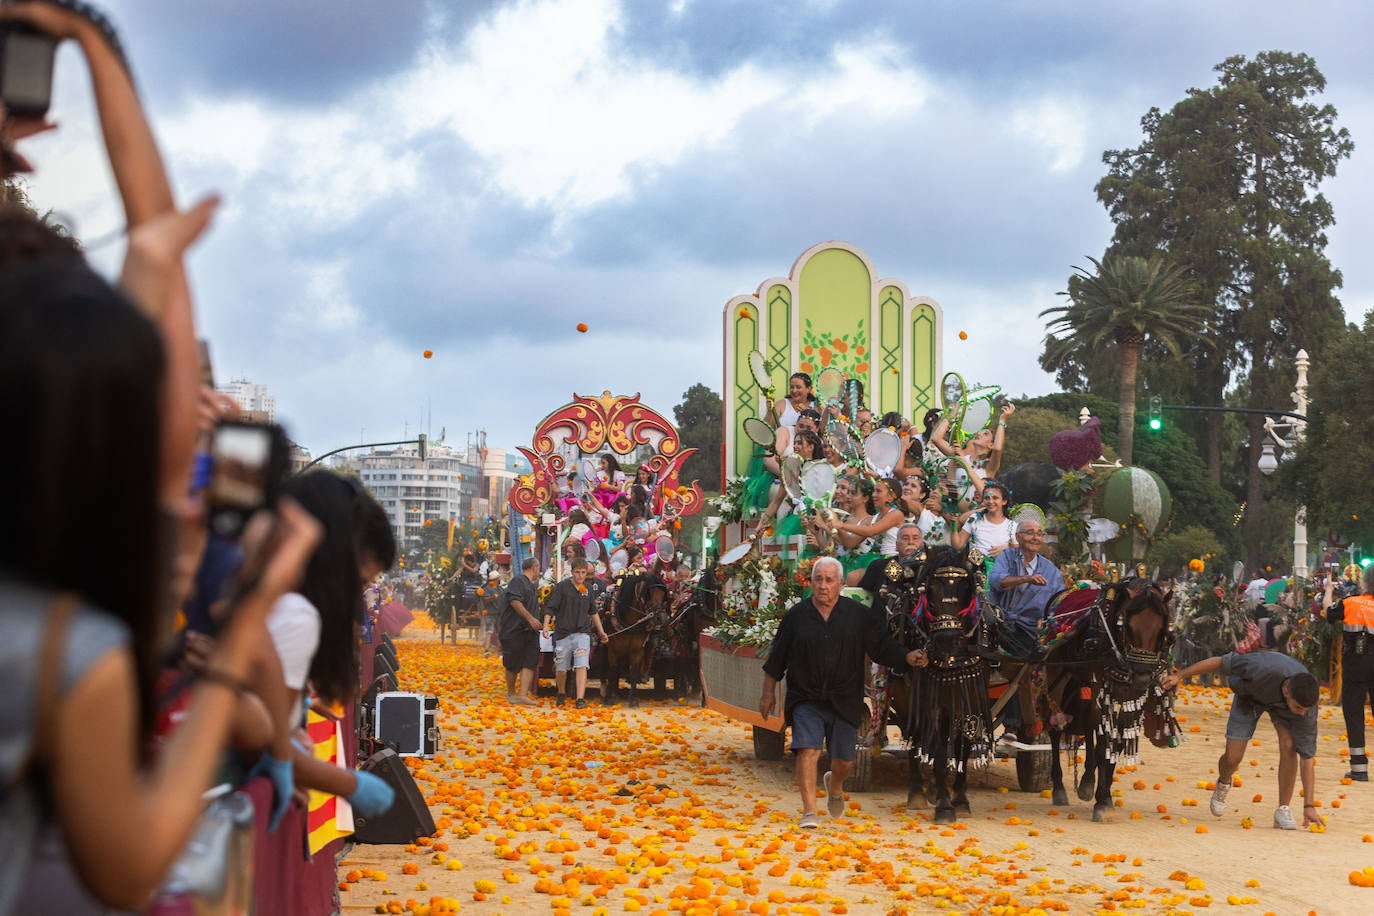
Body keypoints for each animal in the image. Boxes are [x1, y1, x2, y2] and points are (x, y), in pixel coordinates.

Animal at [884, 543, 994, 823]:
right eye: (930, 590)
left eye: (966, 588)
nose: (947, 639)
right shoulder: (931, 702)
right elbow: (939, 748)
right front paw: (944, 806)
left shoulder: (970, 696)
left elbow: (962, 744)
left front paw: (960, 800)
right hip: (905, 698)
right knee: (914, 736)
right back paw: (917, 793)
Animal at [1038, 579, 1181, 823]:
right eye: (1127, 627)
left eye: (1163, 631)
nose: (1142, 675)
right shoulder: (1102, 688)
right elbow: (1104, 743)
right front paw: (1101, 802)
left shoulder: (1132, 695)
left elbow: (1117, 743)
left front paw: (1104, 796)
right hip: (1058, 674)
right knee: (1056, 728)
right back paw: (1059, 789)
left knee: (1087, 726)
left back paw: (1087, 780)